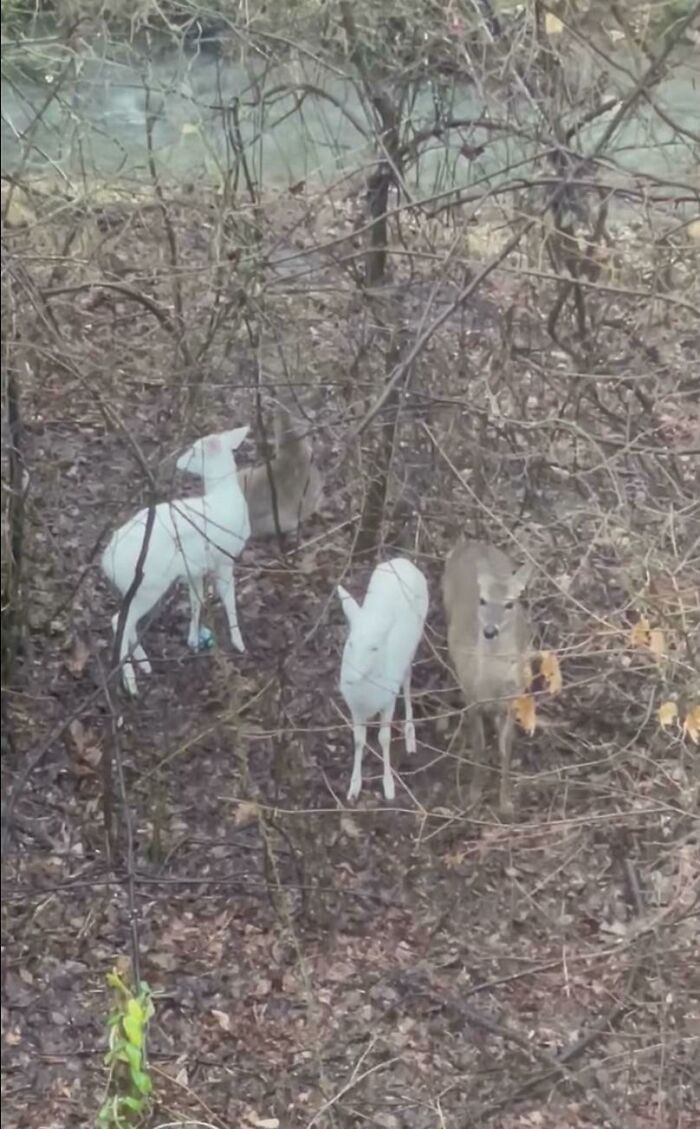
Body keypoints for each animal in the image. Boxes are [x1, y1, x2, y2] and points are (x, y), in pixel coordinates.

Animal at [102, 426, 251, 695]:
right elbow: (229, 599)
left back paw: (144, 663)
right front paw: (239, 643)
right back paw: (131, 682)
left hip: (132, 587)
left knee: (126, 621)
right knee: (119, 620)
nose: (179, 461)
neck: (224, 498)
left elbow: (196, 600)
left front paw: (193, 641)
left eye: (194, 450)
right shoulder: (225, 557)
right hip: (148, 585)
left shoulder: (196, 568)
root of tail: (106, 560)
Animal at [337, 558, 429, 803]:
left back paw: (410, 733)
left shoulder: (387, 700)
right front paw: (353, 787)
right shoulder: (354, 707)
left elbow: (384, 738)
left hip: (414, 640)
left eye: (375, 648)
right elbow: (358, 739)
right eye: (350, 643)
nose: (350, 679)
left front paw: (389, 787)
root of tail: (404, 561)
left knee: (407, 679)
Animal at [442, 538, 533, 818]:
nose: (490, 631)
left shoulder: (512, 699)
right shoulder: (472, 699)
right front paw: (473, 795)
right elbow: (479, 745)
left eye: (509, 604)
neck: (491, 688)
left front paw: (506, 803)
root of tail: (471, 543)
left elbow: (506, 748)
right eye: (482, 600)